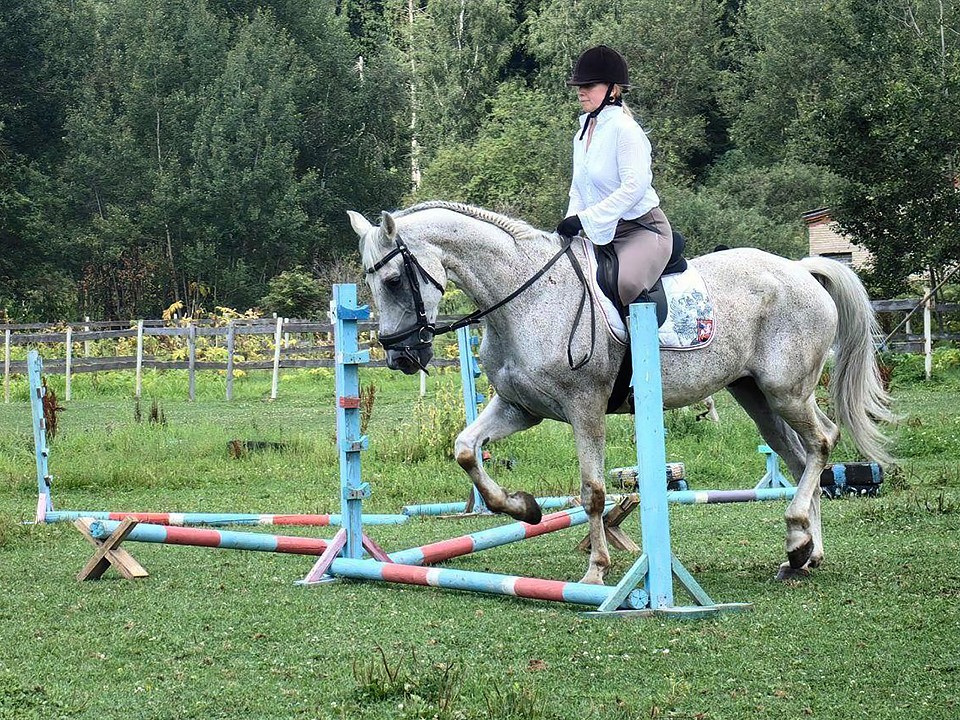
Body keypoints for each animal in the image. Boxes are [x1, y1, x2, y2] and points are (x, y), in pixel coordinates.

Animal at [348, 200, 896, 584]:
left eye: (393, 279)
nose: (400, 357)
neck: (526, 298)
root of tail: (801, 270)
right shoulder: (519, 407)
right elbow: (466, 450)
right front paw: (524, 508)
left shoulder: (584, 408)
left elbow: (592, 491)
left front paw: (596, 568)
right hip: (757, 397)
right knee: (800, 458)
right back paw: (803, 553)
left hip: (788, 391)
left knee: (822, 442)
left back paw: (799, 535)